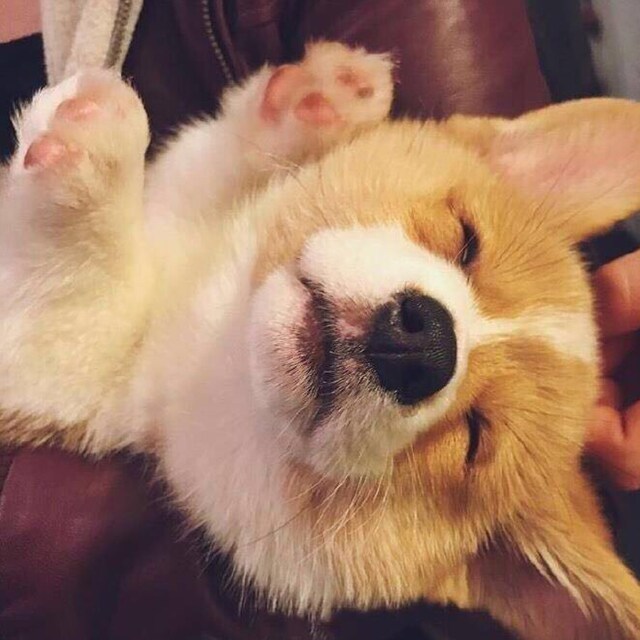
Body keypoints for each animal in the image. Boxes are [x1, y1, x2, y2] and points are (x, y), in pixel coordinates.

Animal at [1, 42, 640, 639]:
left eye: (475, 437)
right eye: (466, 241)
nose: (427, 346)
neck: (219, 335)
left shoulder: (75, 383)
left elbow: (80, 299)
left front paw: (87, 156)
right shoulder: (183, 204)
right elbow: (211, 161)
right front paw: (318, 102)